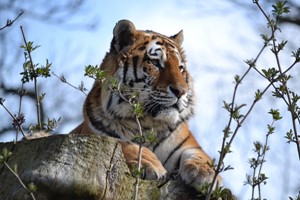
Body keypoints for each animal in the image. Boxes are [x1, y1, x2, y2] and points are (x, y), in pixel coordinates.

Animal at [69, 18, 220, 189]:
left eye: (180, 68)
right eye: (155, 63)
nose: (181, 92)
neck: (148, 123)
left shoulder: (188, 144)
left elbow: (200, 156)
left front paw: (204, 172)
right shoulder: (95, 135)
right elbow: (123, 142)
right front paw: (150, 163)